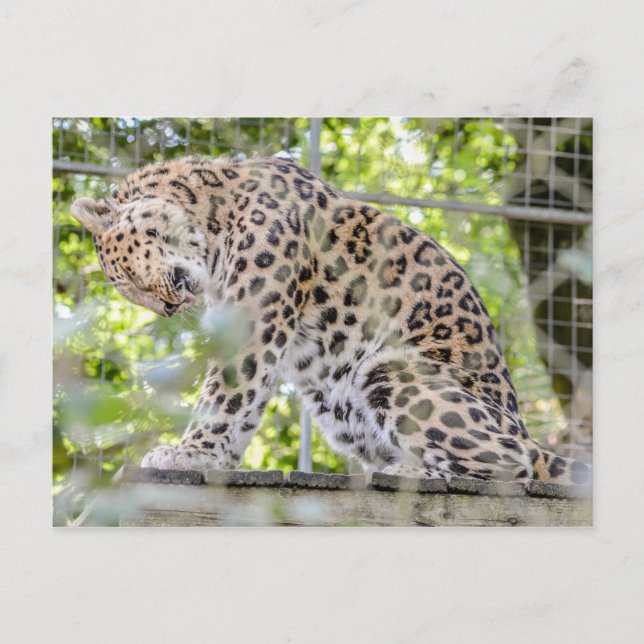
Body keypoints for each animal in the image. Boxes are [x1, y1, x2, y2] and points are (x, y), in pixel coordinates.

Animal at [70, 154, 591, 485]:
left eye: (122, 276)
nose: (169, 309)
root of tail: (526, 430)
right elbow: (243, 406)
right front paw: (214, 462)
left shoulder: (253, 320)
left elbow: (224, 396)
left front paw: (186, 454)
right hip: (337, 406)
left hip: (389, 370)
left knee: (513, 463)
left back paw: (404, 472)